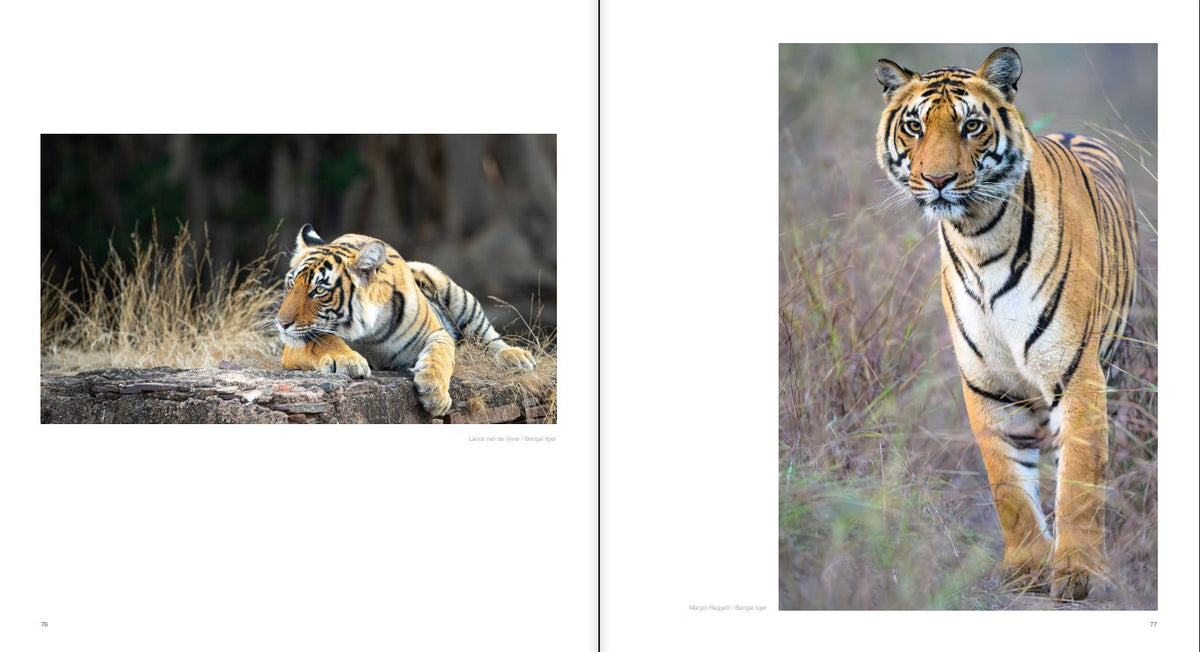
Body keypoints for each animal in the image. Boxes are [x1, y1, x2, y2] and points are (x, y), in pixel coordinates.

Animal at [275, 223, 536, 416]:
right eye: (291, 283)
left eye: (319, 290)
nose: (281, 323)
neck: (368, 333)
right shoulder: (294, 345)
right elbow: (322, 340)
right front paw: (348, 361)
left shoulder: (437, 332)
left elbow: (441, 355)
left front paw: (434, 391)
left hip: (460, 298)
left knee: (489, 337)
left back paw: (517, 357)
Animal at [874, 47, 1137, 600]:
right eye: (914, 126)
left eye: (971, 125)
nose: (938, 180)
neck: (977, 237)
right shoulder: (988, 384)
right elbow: (1009, 487)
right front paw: (1027, 569)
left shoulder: (1075, 373)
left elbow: (1080, 480)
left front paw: (1078, 574)